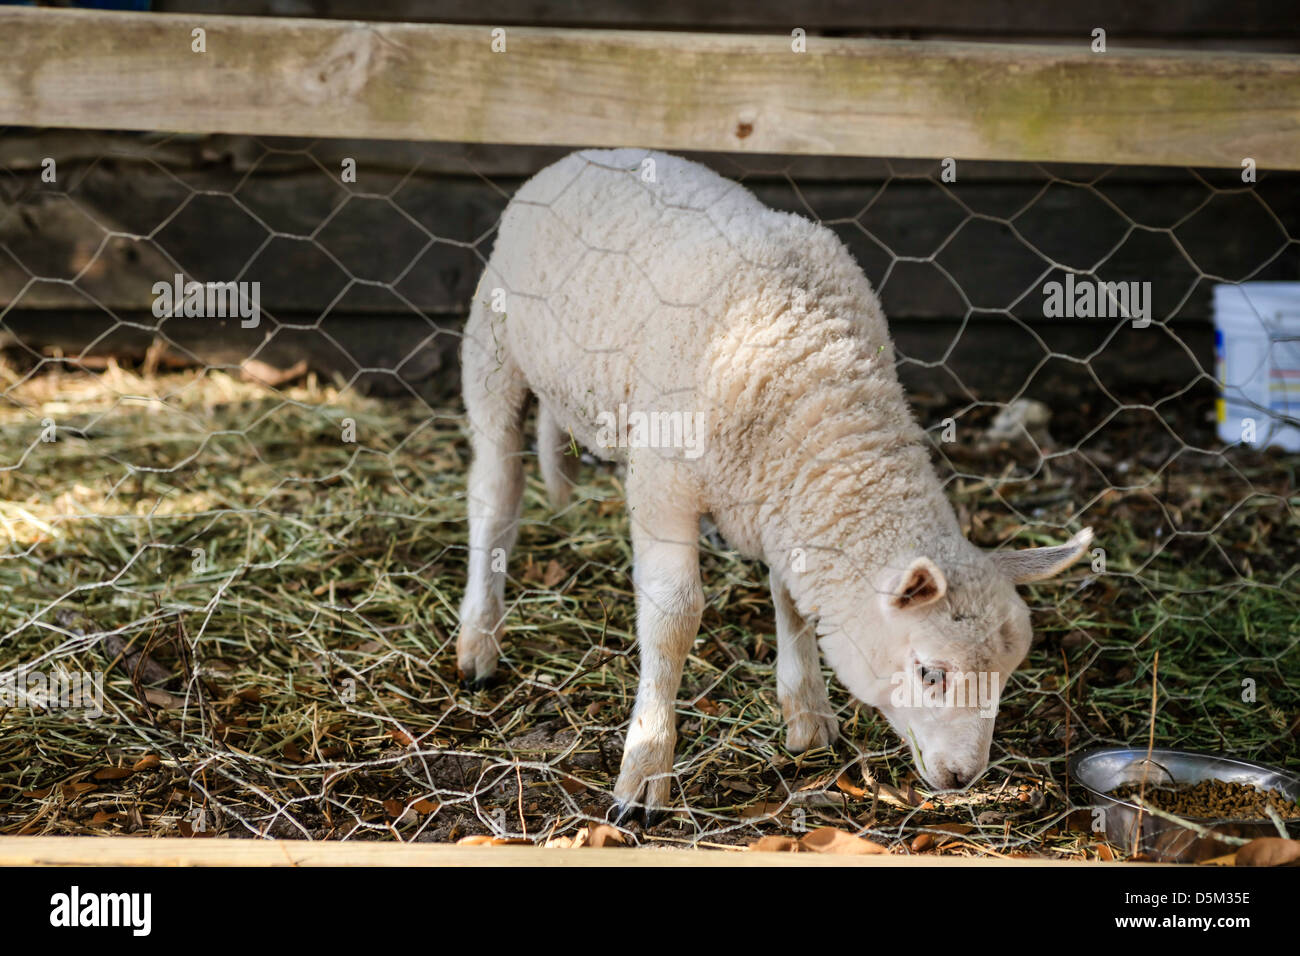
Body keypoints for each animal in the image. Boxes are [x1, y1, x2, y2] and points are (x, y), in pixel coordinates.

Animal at [457, 148, 1091, 822]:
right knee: (494, 496)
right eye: (929, 673)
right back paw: (479, 641)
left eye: (1007, 674)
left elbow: (793, 601)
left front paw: (807, 713)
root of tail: (587, 155)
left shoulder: (787, 498)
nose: (962, 777)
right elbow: (673, 618)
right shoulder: (664, 484)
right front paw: (647, 766)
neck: (815, 374)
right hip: (492, 353)